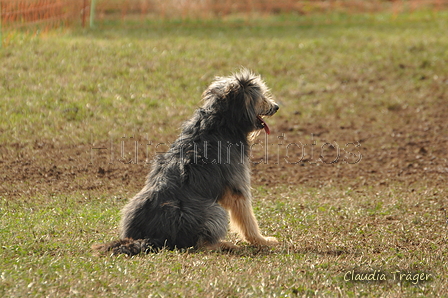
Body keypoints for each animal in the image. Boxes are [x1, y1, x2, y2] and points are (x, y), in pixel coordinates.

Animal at [93, 70, 278, 256]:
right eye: (261, 97)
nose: (276, 106)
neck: (221, 122)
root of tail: (151, 236)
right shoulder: (237, 186)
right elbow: (248, 219)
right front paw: (262, 240)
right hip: (214, 211)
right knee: (200, 244)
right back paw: (225, 245)